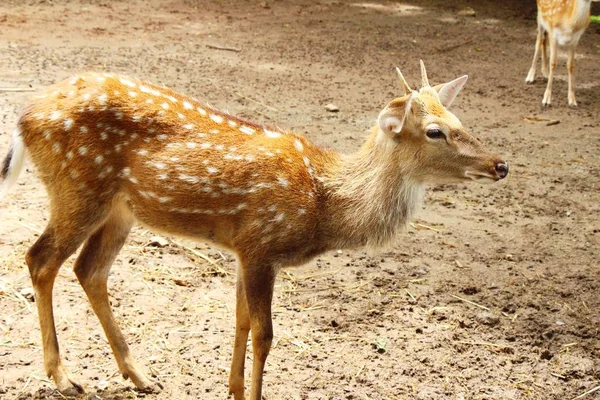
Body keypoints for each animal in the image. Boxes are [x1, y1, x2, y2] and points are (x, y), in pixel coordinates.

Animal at [0, 61, 506, 398]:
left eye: (461, 121)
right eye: (435, 131)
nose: (500, 164)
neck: (323, 203)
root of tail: (24, 118)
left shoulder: (243, 249)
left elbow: (241, 319)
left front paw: (234, 388)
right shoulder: (263, 244)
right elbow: (265, 334)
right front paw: (252, 392)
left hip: (119, 211)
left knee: (89, 270)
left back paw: (140, 374)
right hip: (77, 189)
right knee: (40, 259)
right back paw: (65, 377)